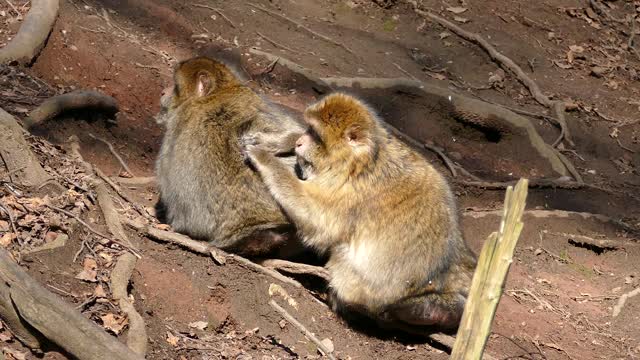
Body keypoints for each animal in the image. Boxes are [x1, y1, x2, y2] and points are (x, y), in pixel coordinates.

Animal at [242, 93, 478, 332]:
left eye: (315, 135)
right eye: (308, 129)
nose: (300, 142)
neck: (359, 163)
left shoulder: (350, 193)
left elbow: (316, 219)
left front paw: (264, 157)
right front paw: (279, 141)